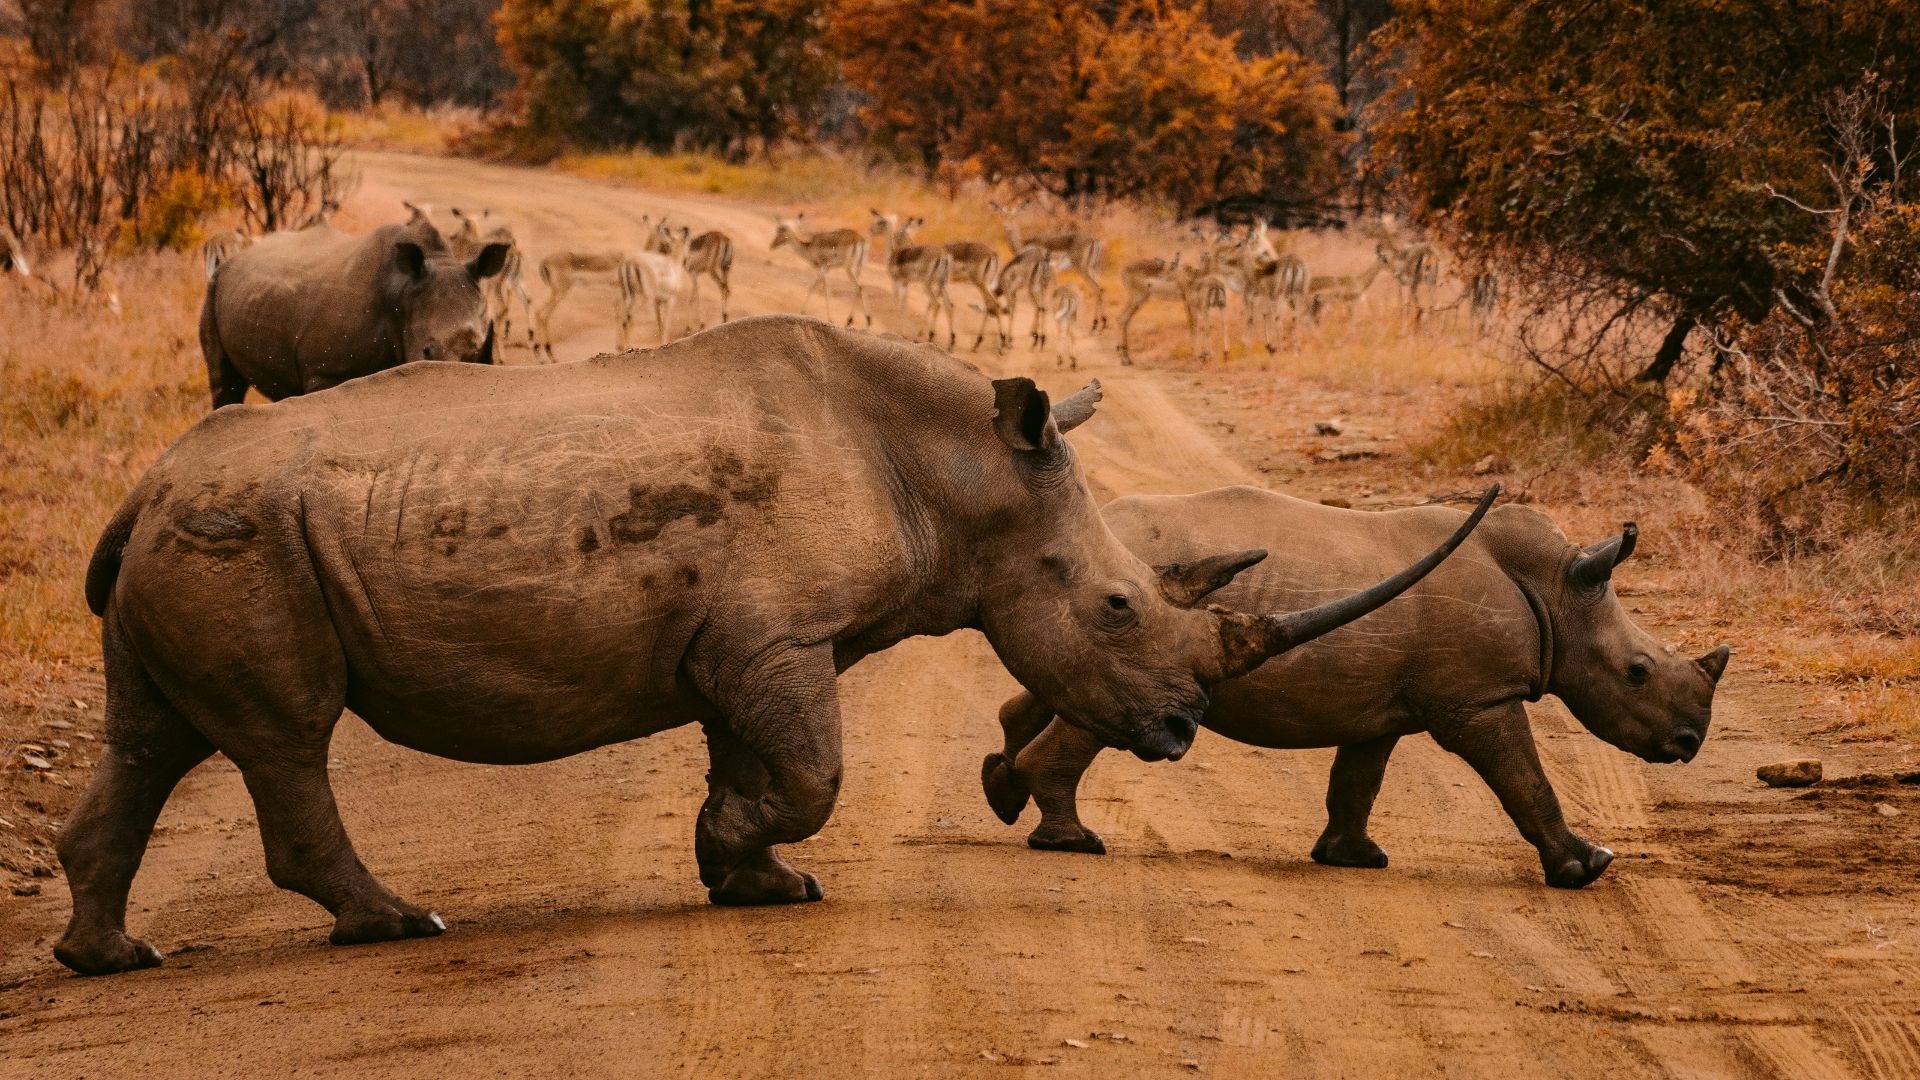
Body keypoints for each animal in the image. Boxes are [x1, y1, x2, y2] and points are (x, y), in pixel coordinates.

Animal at [55, 317, 1493, 975]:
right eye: (1119, 608)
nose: (1182, 733)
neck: (961, 474)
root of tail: (144, 484)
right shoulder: (778, 638)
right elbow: (813, 773)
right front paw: (749, 860)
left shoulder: (749, 643)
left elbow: (755, 761)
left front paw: (749, 879)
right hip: (244, 535)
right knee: (285, 736)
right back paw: (400, 925)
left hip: (196, 530)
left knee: (152, 739)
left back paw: (111, 958)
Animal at [199, 213, 509, 408]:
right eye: (427, 351)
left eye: (479, 352)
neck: (402, 294)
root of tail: (235, 257)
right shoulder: (326, 372)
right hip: (214, 288)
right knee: (224, 384)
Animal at [982, 486, 1730, 889]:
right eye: (1637, 672)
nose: (1690, 743)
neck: (1557, 591)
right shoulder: (1478, 700)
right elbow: (1526, 780)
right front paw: (1587, 867)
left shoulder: (1383, 708)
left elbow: (1358, 781)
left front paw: (1353, 860)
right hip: (1131, 609)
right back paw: (1073, 841)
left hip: (1102, 603)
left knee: (1057, 686)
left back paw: (1005, 792)